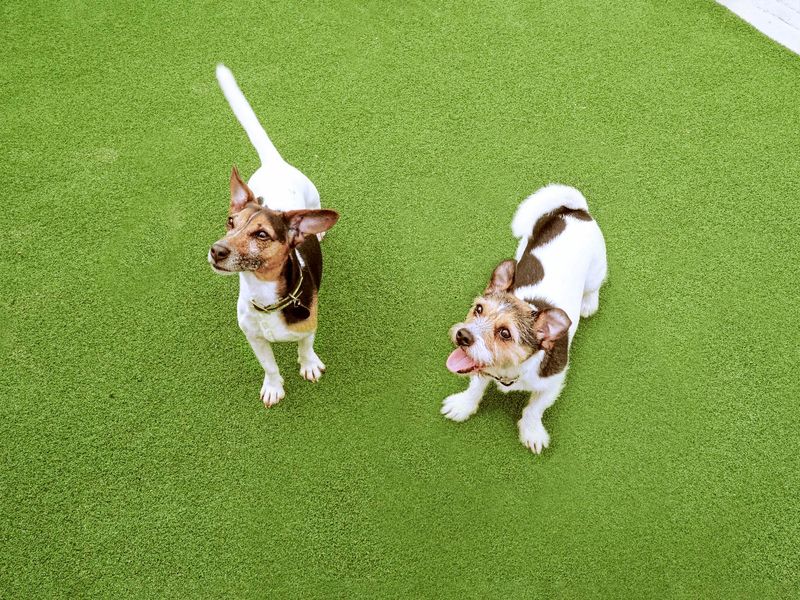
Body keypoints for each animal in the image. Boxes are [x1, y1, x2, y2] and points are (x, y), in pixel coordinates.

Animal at [209, 65, 338, 408]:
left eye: (262, 234)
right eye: (230, 222)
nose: (216, 250)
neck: (264, 296)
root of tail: (274, 163)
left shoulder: (309, 327)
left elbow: (305, 347)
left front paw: (309, 365)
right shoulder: (252, 337)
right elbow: (268, 365)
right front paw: (273, 387)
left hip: (313, 200)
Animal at [444, 185, 608, 452]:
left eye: (505, 333)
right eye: (478, 309)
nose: (462, 336)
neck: (509, 372)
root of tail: (574, 211)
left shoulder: (553, 384)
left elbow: (535, 409)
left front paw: (532, 431)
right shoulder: (481, 369)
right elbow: (475, 386)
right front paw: (463, 404)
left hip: (596, 270)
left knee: (595, 286)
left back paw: (588, 303)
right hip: (523, 246)